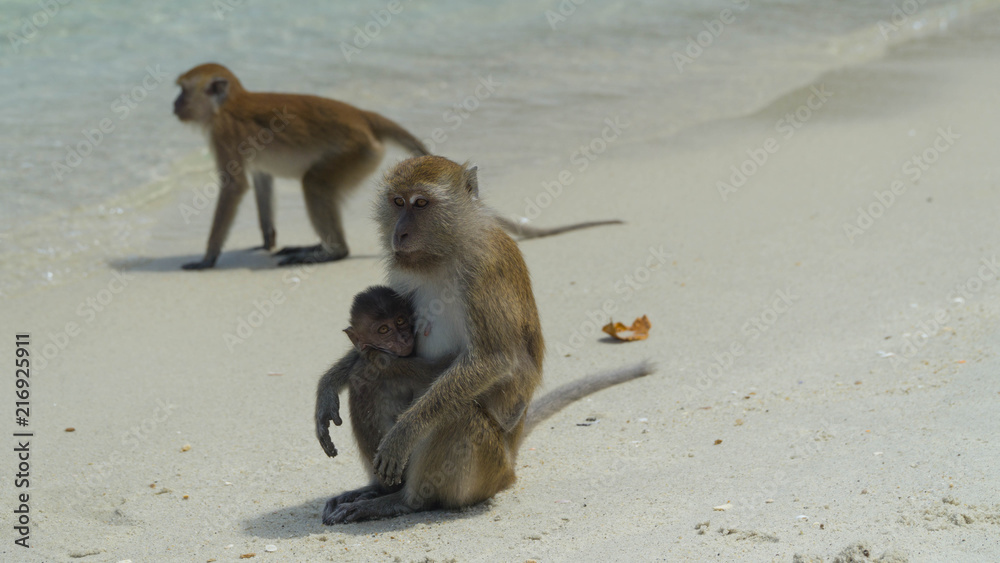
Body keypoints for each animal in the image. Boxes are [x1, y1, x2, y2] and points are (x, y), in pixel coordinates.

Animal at [173, 63, 429, 270]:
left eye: (183, 91)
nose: (175, 103)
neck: (227, 104)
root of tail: (362, 116)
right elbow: (262, 178)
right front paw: (267, 240)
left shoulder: (223, 132)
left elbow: (234, 185)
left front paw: (208, 259)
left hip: (357, 152)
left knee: (313, 183)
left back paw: (334, 251)